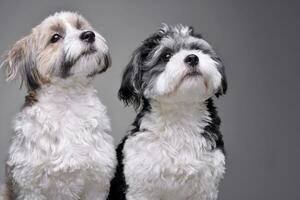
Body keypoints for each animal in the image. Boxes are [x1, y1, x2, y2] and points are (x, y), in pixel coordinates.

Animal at [0, 11, 116, 200]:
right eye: (55, 37)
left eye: (80, 27)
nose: (89, 35)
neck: (68, 102)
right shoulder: (30, 187)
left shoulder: (96, 184)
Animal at [108, 23, 227, 200]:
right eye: (166, 55)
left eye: (197, 49)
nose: (192, 58)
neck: (180, 117)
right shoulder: (140, 188)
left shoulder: (205, 190)